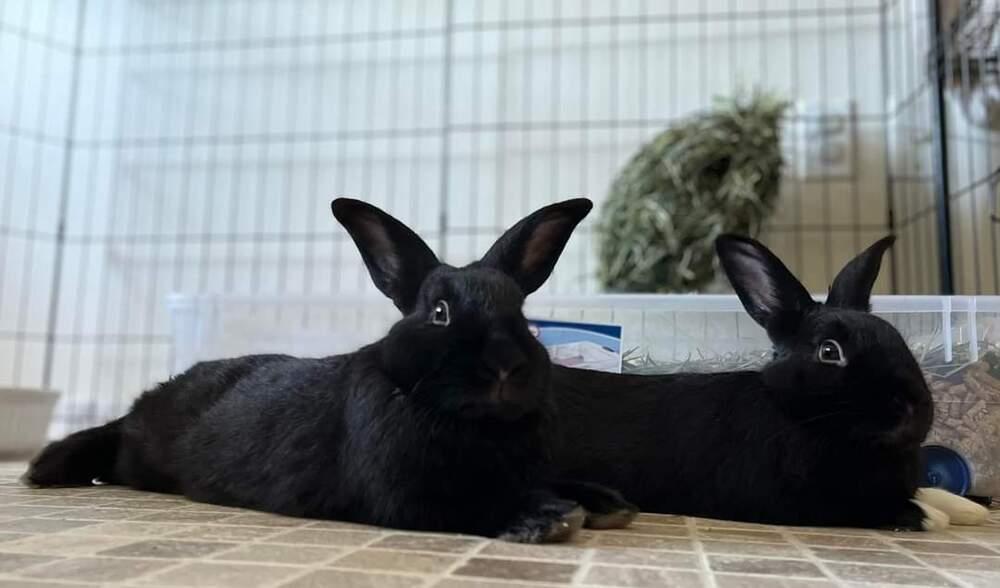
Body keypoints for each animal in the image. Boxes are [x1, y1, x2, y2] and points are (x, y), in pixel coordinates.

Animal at [25, 197, 637, 543]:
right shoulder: (406, 493)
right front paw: (550, 517)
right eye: (439, 313)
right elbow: (468, 505)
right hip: (139, 452)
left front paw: (607, 503)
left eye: (523, 316)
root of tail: (142, 405)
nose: (507, 366)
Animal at [551, 234, 966, 531]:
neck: (795, 415)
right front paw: (932, 517)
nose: (912, 409)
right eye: (829, 351)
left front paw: (957, 508)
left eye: (897, 337)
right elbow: (877, 505)